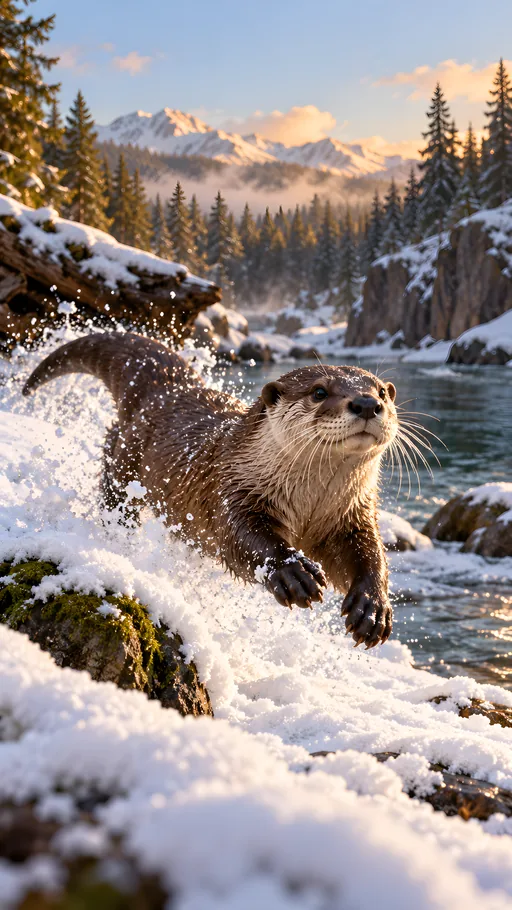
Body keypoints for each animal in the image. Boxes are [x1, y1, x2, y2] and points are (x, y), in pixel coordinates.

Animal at [23, 332, 398, 648]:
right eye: (319, 392)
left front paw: (372, 607)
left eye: (381, 391)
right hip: (124, 458)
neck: (309, 503)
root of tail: (170, 389)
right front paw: (293, 571)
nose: (367, 403)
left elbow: (367, 552)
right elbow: (240, 537)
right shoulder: (231, 488)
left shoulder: (351, 514)